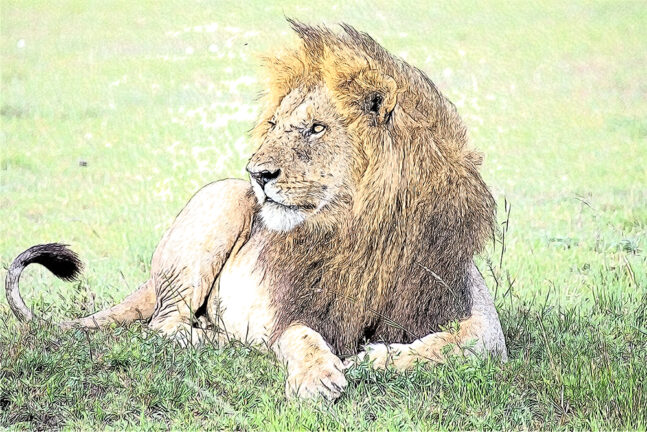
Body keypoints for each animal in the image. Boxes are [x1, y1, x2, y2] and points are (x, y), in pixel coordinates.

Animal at [5, 21, 507, 400]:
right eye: (274, 125)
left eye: (316, 128)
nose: (257, 174)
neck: (359, 228)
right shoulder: (292, 309)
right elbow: (301, 336)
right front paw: (317, 378)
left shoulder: (468, 304)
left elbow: (463, 343)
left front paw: (378, 357)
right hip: (219, 206)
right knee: (163, 324)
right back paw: (215, 340)